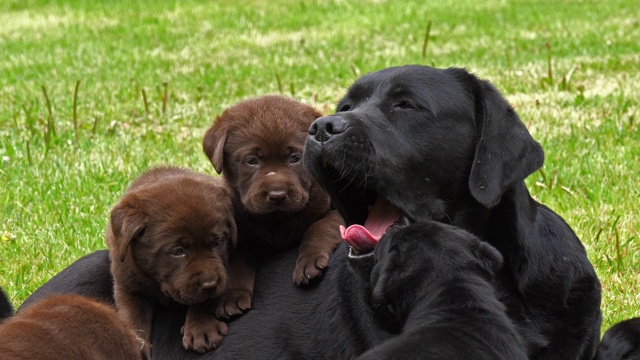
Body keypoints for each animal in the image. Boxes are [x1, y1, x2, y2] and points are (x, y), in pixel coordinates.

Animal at [107, 167, 238, 354]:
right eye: (177, 252)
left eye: (216, 242)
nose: (210, 284)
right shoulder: (127, 284)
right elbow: (131, 316)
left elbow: (202, 301)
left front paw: (202, 329)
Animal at [205, 95, 344, 318]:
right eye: (251, 161)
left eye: (295, 158)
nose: (277, 195)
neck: (275, 221)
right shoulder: (240, 238)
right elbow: (236, 265)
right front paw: (232, 297)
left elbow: (319, 227)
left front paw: (309, 261)